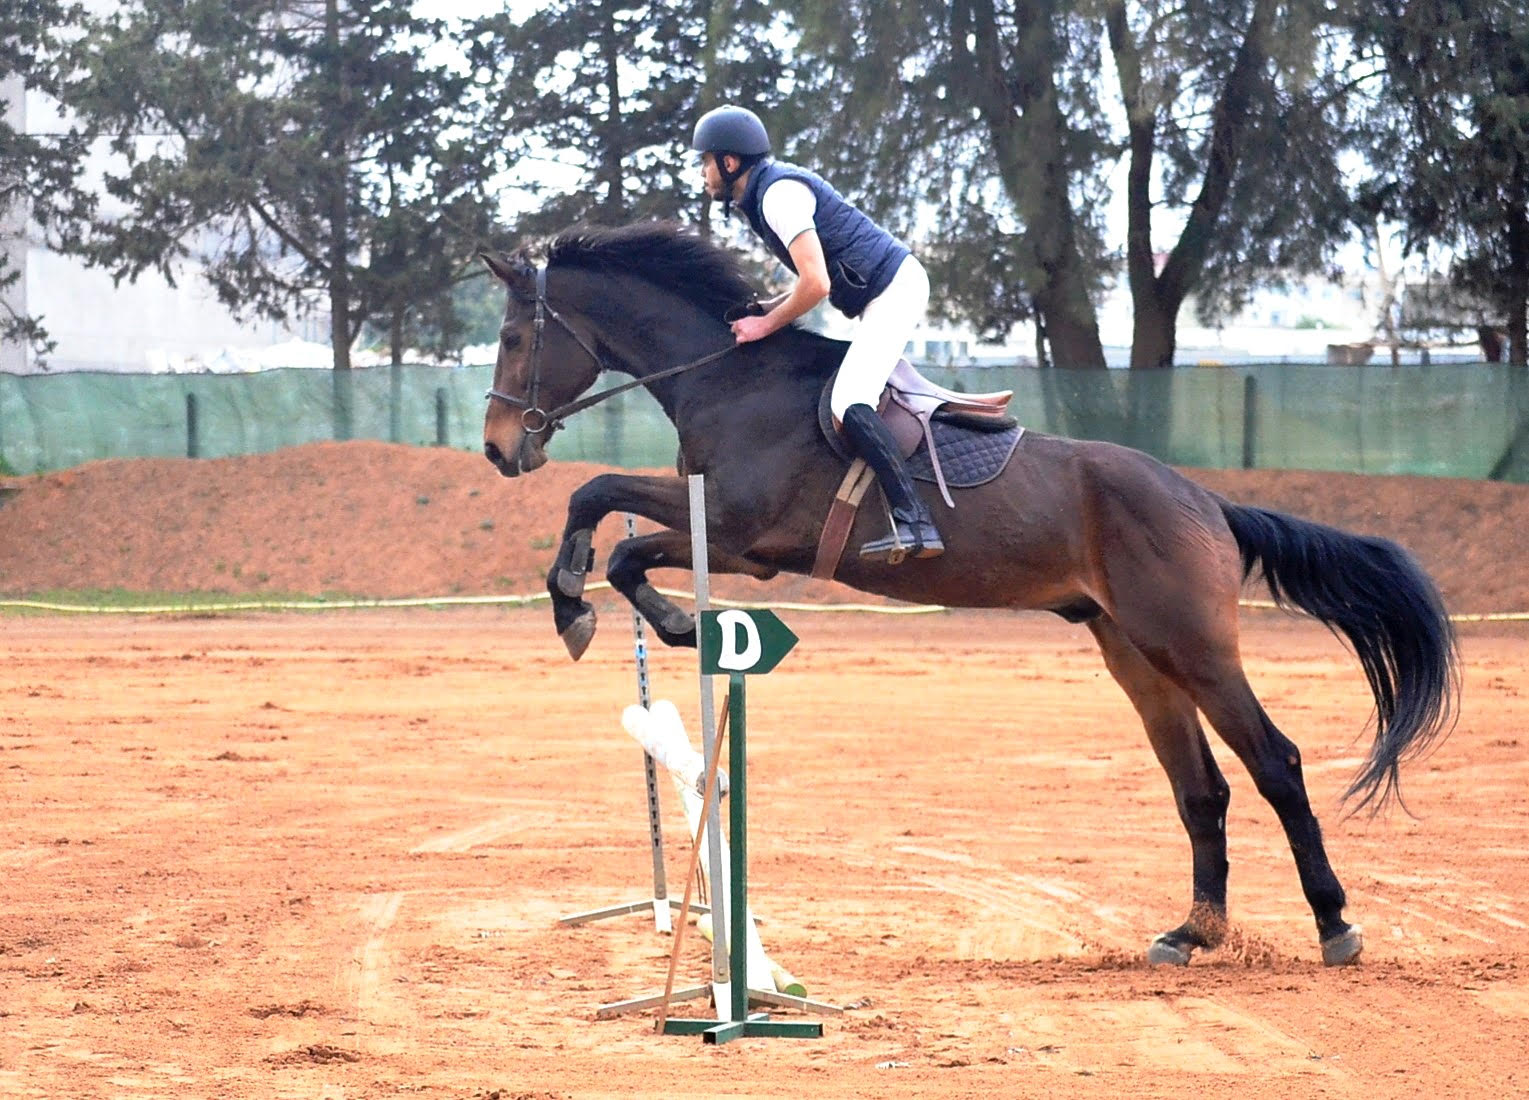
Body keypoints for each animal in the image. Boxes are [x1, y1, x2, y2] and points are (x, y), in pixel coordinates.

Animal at [477, 218, 1455, 966]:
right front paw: (584, 604)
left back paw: (1333, 925)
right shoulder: (715, 522)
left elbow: (611, 521)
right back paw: (1192, 933)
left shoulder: (744, 537)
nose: (496, 448)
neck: (728, 376)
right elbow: (599, 508)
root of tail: (1206, 501)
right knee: (1201, 788)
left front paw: (627, 615)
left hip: (1194, 646)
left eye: (515, 339)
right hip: (1134, 653)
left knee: (1274, 764)